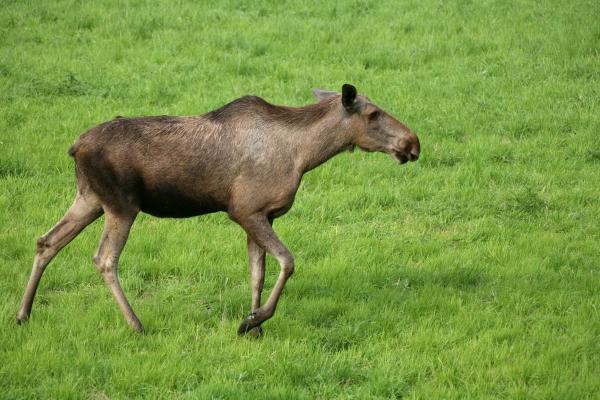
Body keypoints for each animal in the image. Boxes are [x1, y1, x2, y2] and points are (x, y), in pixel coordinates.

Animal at [17, 83, 422, 334]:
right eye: (373, 113)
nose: (412, 142)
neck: (305, 156)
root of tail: (74, 147)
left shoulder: (261, 215)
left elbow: (257, 272)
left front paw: (255, 324)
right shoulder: (245, 209)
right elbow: (288, 262)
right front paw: (252, 321)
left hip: (89, 199)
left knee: (46, 241)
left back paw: (22, 314)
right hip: (120, 205)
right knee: (104, 258)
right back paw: (136, 324)